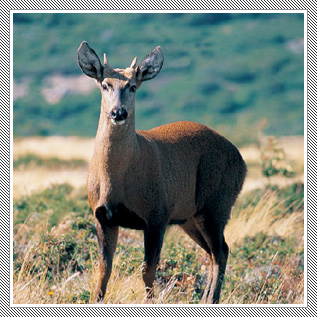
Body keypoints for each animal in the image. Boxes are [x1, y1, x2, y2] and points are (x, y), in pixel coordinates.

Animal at [76, 40, 247, 302]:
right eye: (105, 85)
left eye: (133, 86)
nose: (118, 112)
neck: (117, 181)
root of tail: (242, 162)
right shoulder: (103, 216)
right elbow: (104, 270)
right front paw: (96, 300)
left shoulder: (157, 214)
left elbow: (148, 270)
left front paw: (150, 300)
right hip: (190, 217)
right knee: (214, 252)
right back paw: (206, 299)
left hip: (217, 205)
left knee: (221, 251)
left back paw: (212, 299)